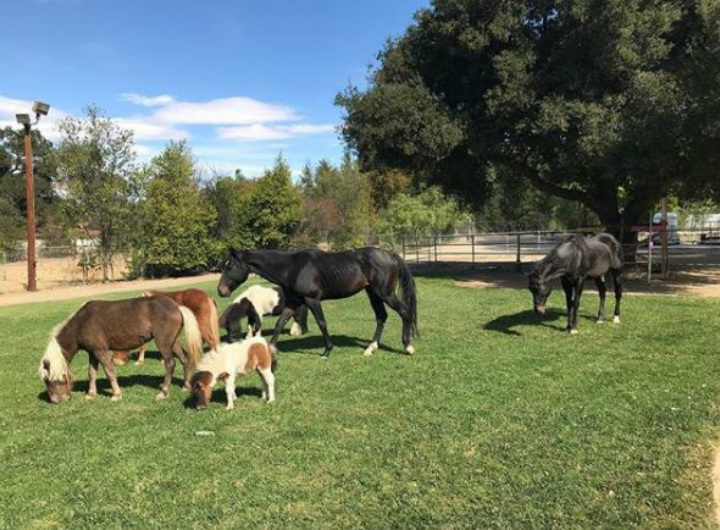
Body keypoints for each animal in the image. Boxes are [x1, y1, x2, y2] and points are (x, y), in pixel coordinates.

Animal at [39, 294, 204, 402]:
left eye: (47, 379)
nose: (55, 400)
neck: (82, 322)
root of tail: (177, 307)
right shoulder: (92, 352)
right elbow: (91, 373)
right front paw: (91, 394)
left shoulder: (101, 351)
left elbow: (109, 372)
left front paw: (116, 394)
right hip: (173, 342)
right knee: (184, 358)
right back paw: (185, 386)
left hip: (163, 342)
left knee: (170, 364)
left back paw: (163, 392)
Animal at [217, 246, 420, 354]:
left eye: (229, 266)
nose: (220, 291)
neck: (292, 268)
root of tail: (391, 254)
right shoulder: (293, 302)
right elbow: (279, 324)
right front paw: (271, 349)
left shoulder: (312, 300)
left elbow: (322, 323)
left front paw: (327, 350)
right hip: (373, 294)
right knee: (381, 317)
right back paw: (370, 348)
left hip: (385, 293)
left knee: (404, 312)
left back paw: (408, 346)